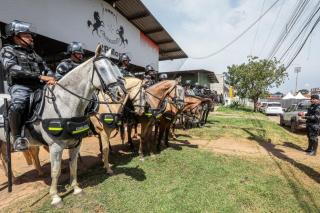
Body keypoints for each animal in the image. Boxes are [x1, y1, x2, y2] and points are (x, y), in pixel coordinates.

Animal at [0, 44, 123, 206]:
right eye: (102, 69)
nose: (120, 94)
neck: (65, 102)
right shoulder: (56, 146)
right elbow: (55, 171)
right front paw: (55, 197)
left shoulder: (76, 142)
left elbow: (73, 165)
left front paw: (76, 188)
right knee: (6, 159)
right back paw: (14, 179)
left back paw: (29, 174)